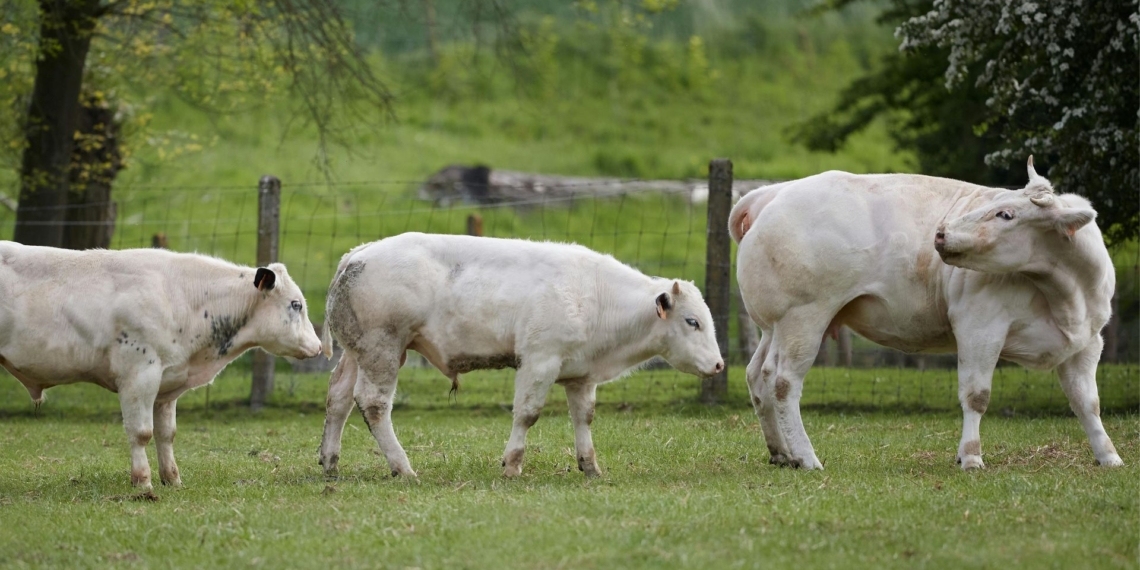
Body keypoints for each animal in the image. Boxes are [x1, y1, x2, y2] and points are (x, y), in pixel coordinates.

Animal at [0, 243, 323, 489]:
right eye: (296, 304)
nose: (319, 346)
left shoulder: (166, 386)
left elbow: (166, 433)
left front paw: (173, 479)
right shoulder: (139, 373)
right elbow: (141, 432)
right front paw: (143, 482)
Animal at [317, 233, 724, 478]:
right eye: (692, 321)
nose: (719, 364)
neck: (596, 295)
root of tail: (359, 253)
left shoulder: (580, 375)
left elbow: (584, 417)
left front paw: (589, 465)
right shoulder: (539, 362)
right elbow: (527, 414)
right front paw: (512, 465)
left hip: (357, 354)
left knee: (339, 398)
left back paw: (330, 462)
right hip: (382, 351)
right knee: (373, 404)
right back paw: (403, 467)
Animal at [730, 157, 1121, 470]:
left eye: (1006, 214)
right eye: (997, 204)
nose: (941, 232)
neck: (1064, 292)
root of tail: (776, 191)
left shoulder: (1088, 341)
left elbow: (1088, 402)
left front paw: (1108, 455)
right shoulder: (980, 328)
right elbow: (976, 395)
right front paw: (971, 457)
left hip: (774, 327)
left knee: (759, 376)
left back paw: (782, 453)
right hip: (803, 318)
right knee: (783, 383)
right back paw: (807, 457)